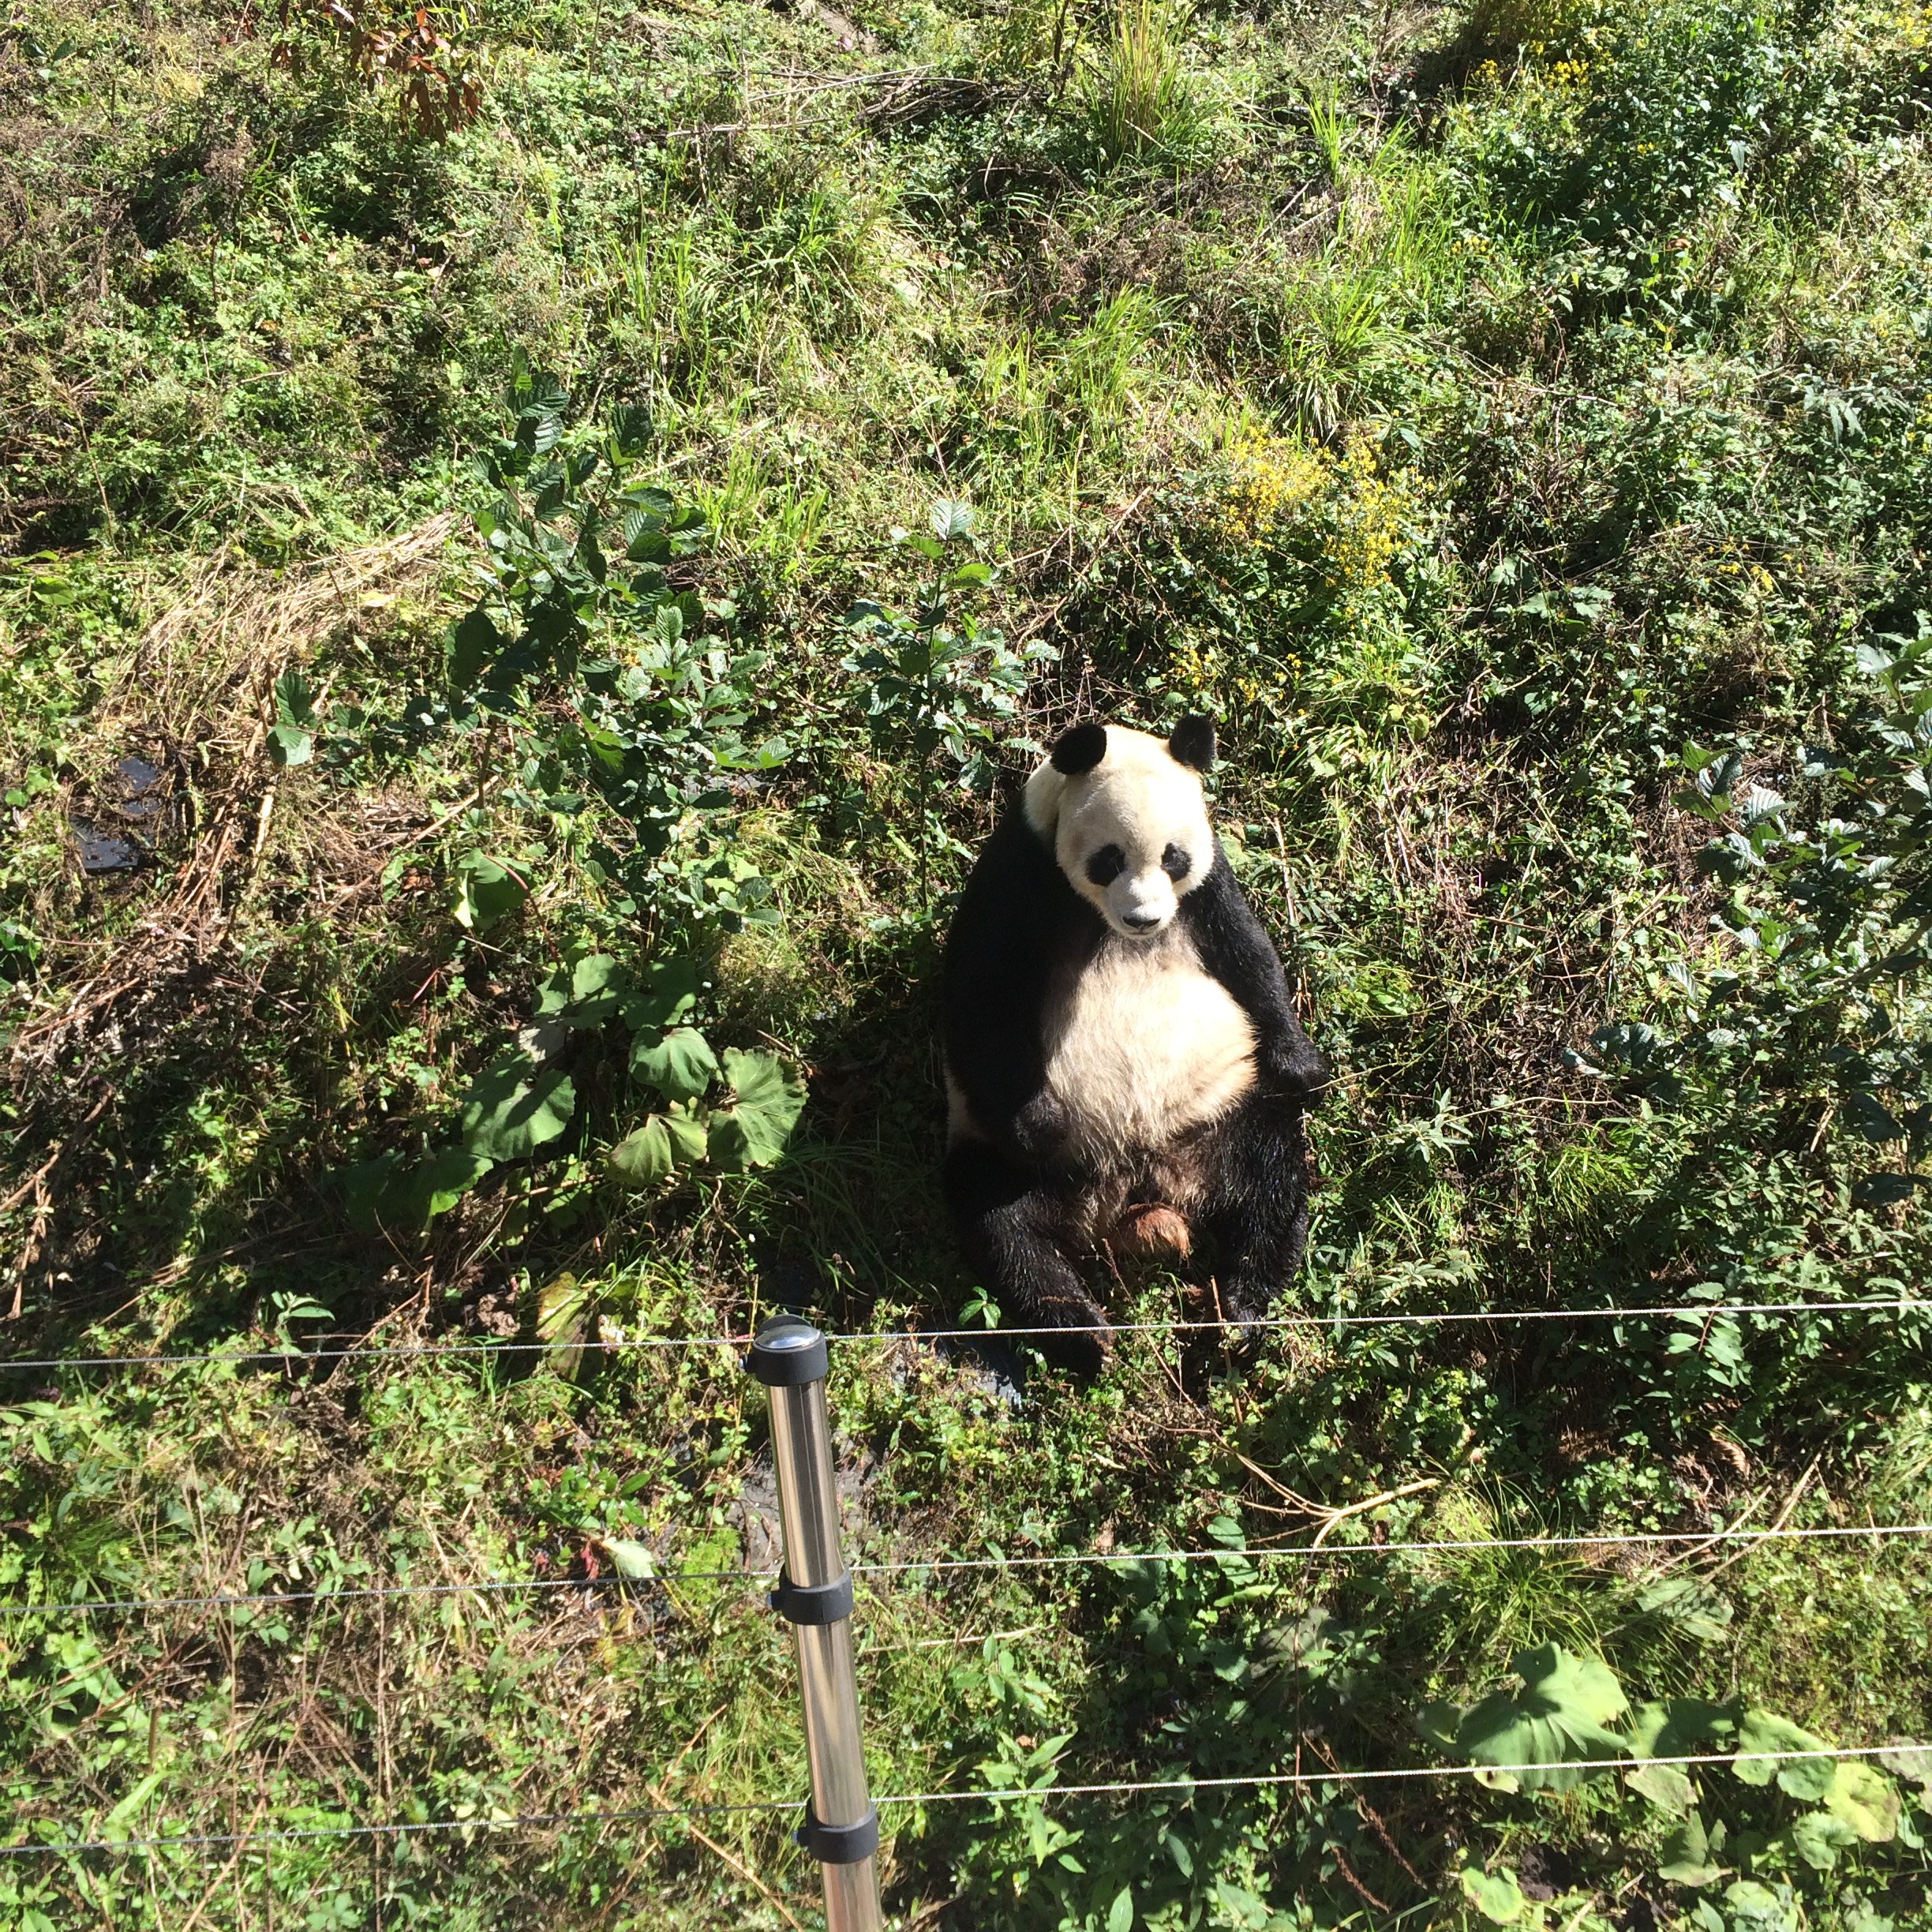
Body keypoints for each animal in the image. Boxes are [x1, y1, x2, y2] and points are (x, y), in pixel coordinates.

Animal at [946, 714, 1329, 1375]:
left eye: (1173, 858)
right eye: (1109, 859)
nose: (1146, 919)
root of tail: (1135, 1185)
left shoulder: (1209, 885)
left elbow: (1250, 957)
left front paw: (1302, 1066)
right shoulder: (1020, 871)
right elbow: (981, 997)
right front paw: (1040, 1120)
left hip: (1221, 1115)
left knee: (1272, 1185)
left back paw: (1236, 1314)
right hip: (1019, 1162)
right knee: (1003, 1225)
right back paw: (1084, 1332)